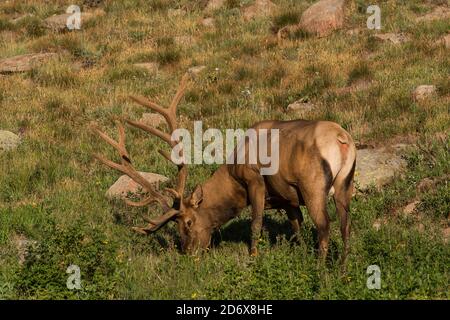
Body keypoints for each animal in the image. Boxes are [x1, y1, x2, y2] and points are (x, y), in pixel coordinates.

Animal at [92, 75, 356, 262]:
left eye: (188, 222)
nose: (188, 253)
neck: (233, 178)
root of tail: (342, 139)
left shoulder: (254, 180)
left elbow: (256, 224)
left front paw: (253, 259)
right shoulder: (287, 197)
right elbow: (296, 227)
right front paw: (300, 253)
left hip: (313, 185)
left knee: (325, 226)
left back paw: (320, 273)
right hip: (345, 183)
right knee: (345, 225)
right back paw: (342, 271)